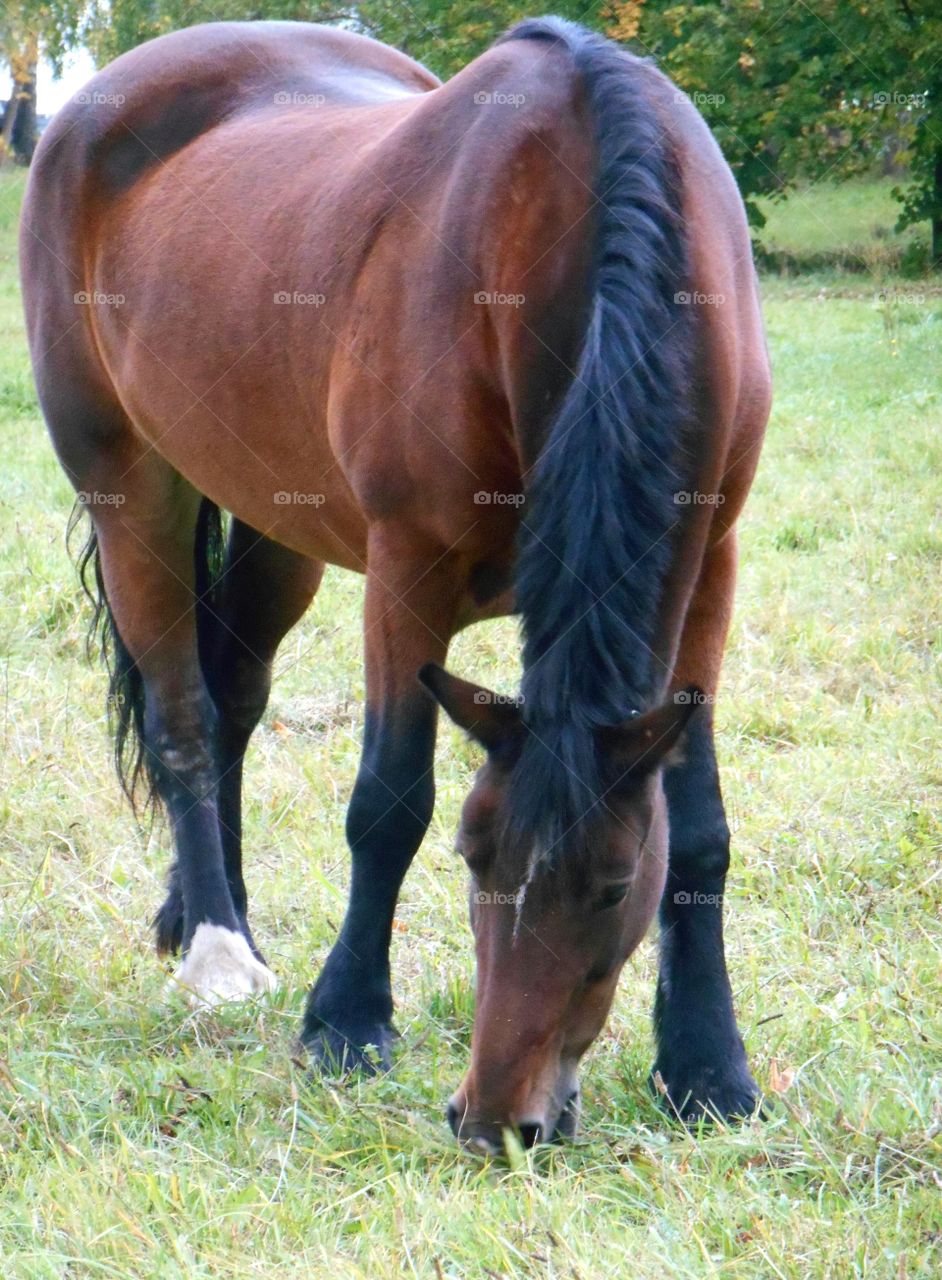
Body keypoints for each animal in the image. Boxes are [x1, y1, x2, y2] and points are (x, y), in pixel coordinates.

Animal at [22, 15, 767, 1146]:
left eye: (612, 887)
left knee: (233, 697)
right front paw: (347, 1021)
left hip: (275, 524)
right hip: (130, 489)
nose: (498, 1119)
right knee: (184, 714)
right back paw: (216, 950)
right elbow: (388, 801)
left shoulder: (710, 568)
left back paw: (206, 912)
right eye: (474, 858)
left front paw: (706, 1065)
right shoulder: (407, 569)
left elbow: (705, 833)